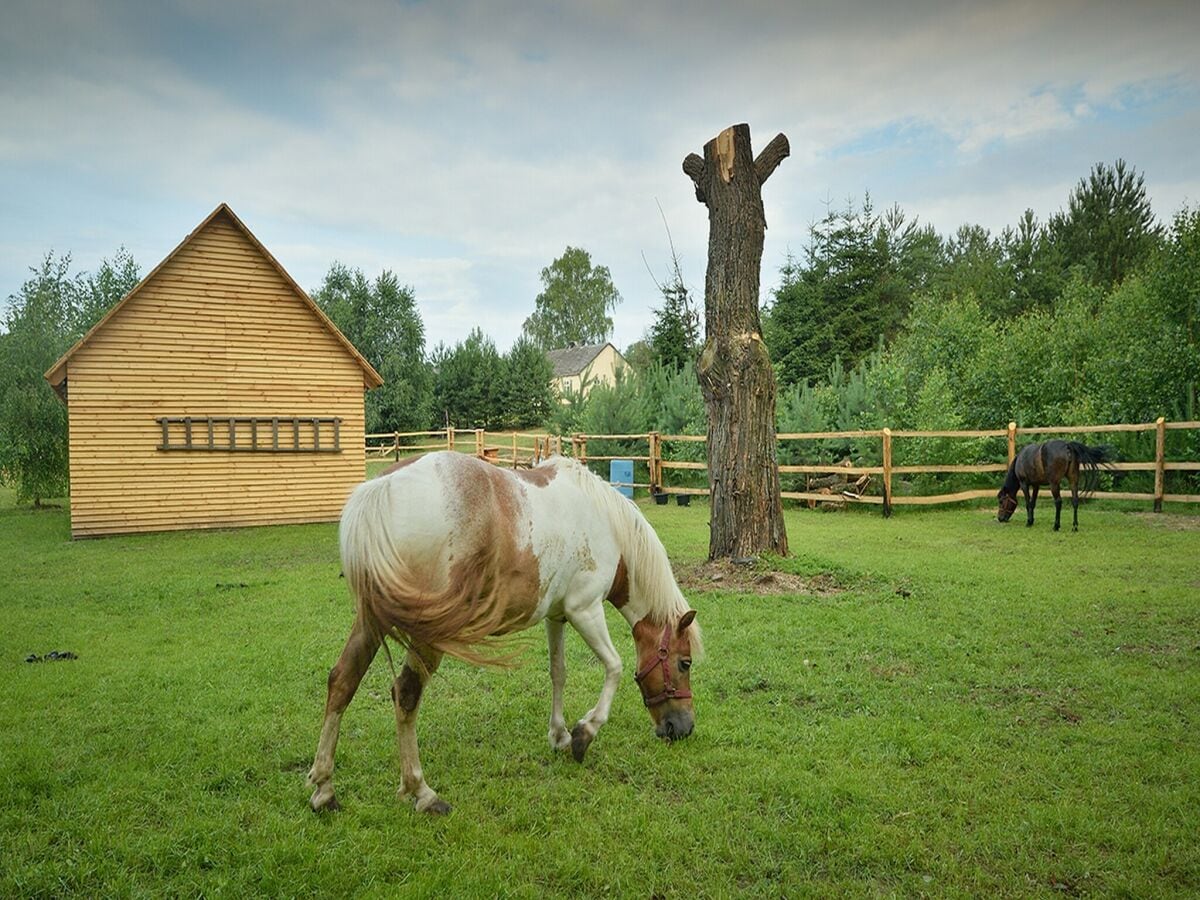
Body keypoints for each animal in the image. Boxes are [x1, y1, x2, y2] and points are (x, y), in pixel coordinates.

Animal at [309, 453, 700, 816]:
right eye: (685, 663)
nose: (683, 728)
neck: (607, 525)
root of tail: (382, 488)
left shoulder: (557, 616)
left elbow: (559, 673)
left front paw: (559, 735)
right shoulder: (585, 610)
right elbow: (615, 667)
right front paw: (583, 735)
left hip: (371, 621)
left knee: (342, 680)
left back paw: (324, 789)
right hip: (425, 632)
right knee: (405, 694)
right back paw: (422, 792)